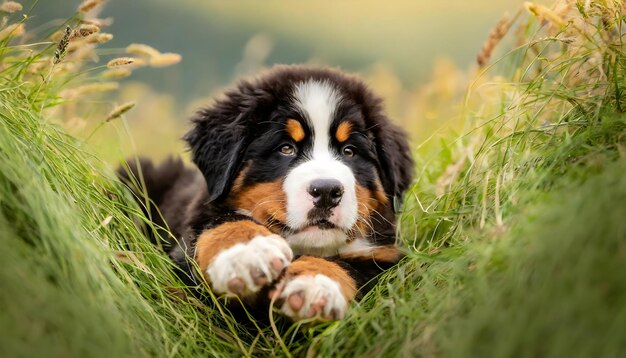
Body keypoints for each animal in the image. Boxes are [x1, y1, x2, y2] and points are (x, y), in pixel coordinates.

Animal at [120, 65, 414, 322]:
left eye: (349, 151)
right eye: (286, 148)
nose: (327, 191)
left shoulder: (384, 258)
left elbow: (350, 267)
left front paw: (315, 284)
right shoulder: (198, 220)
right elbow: (222, 222)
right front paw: (247, 253)